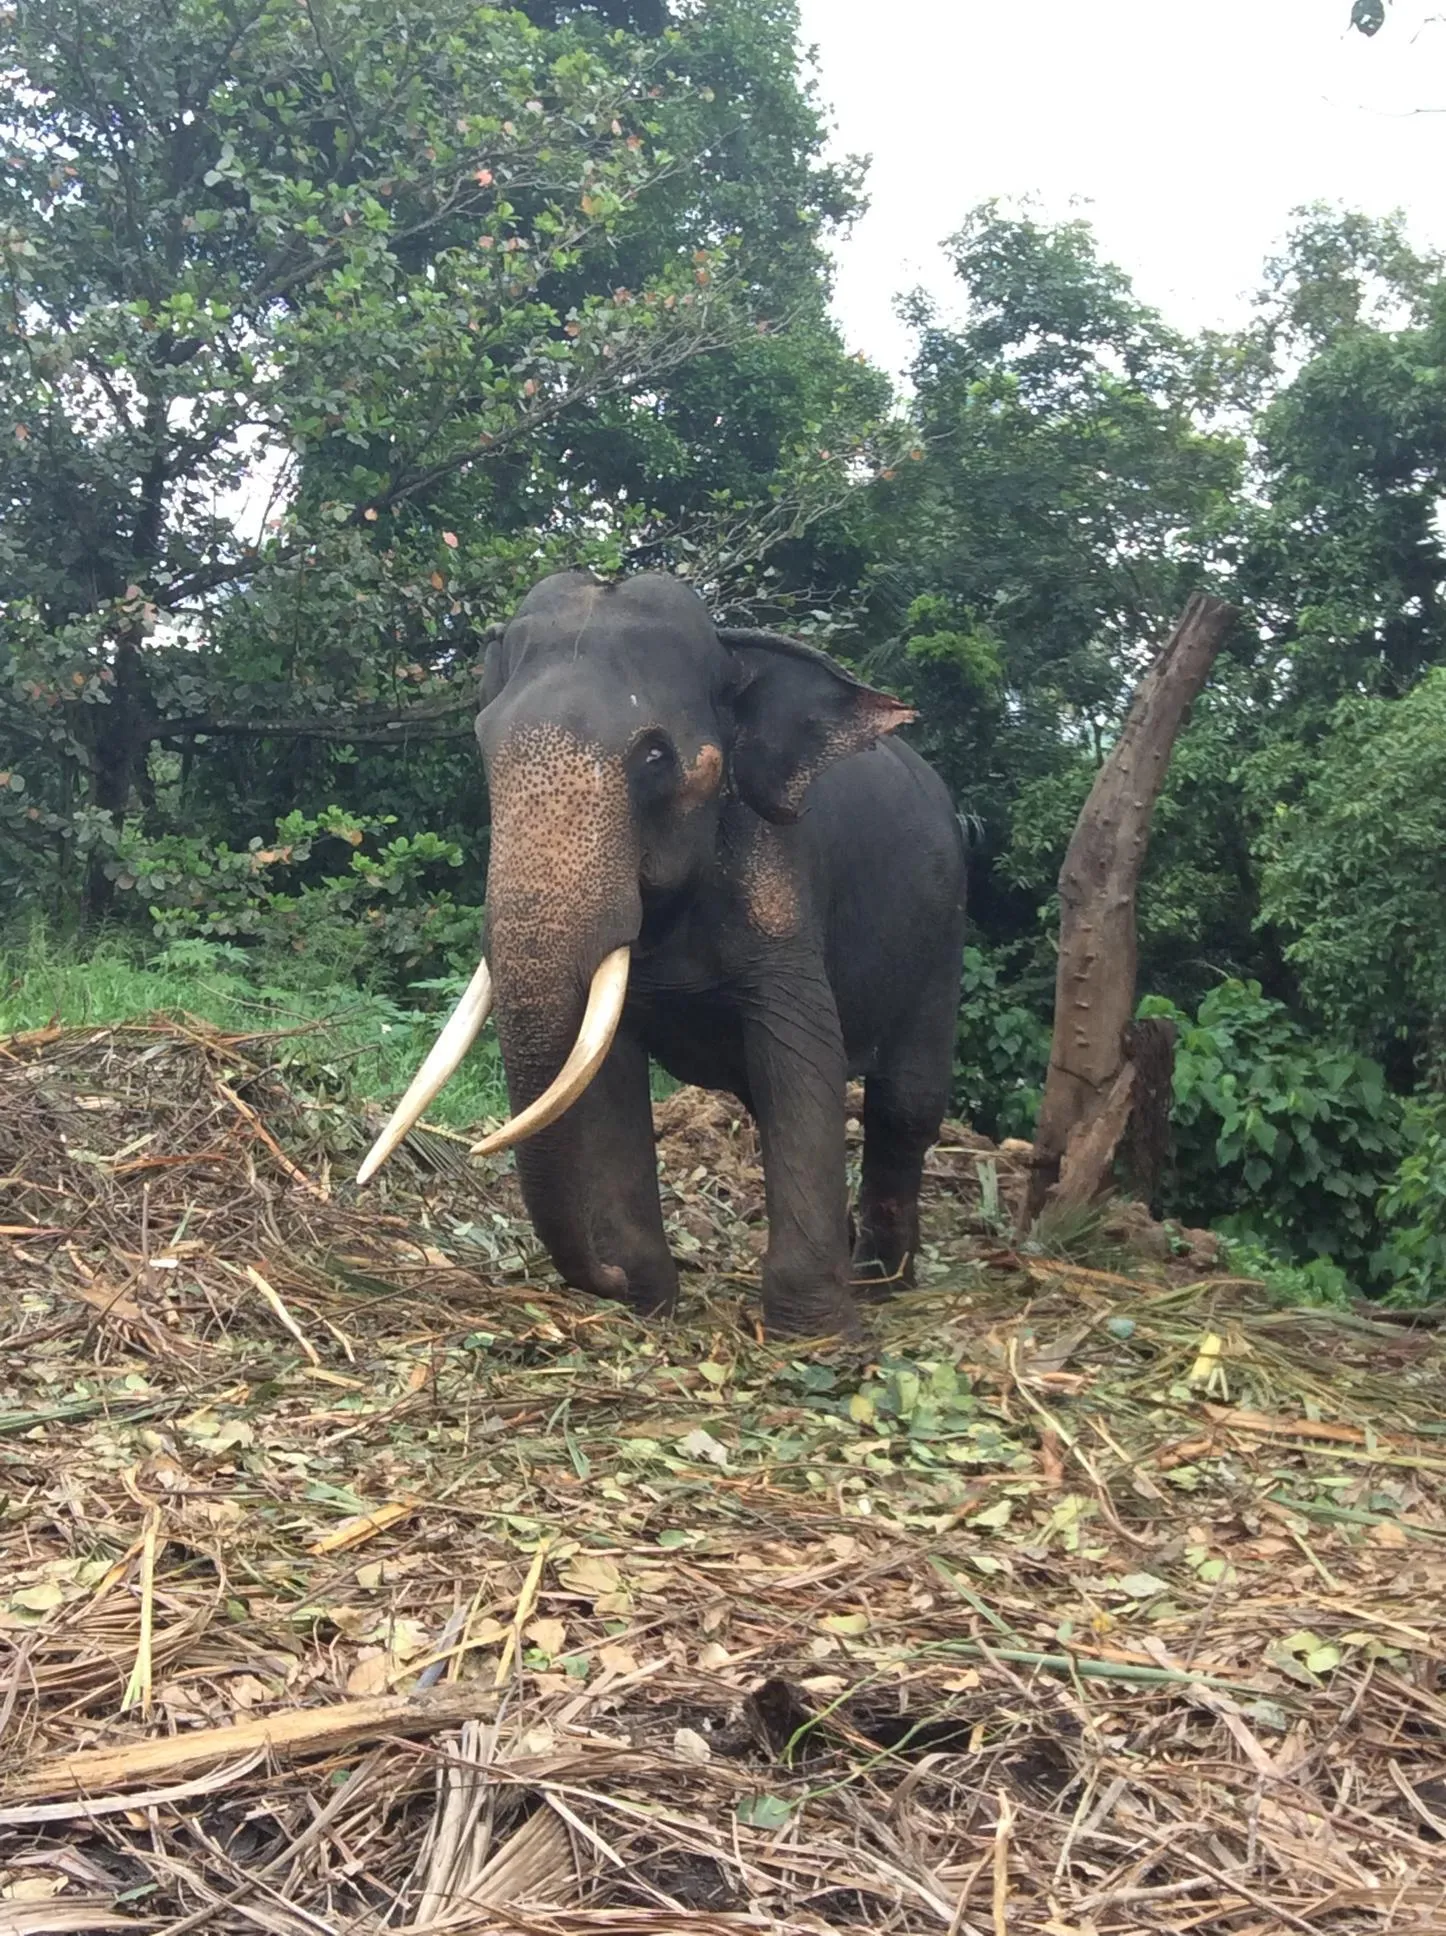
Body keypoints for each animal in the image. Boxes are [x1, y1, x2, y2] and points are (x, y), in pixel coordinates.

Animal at [360, 565, 967, 1339]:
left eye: (653, 756)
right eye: (481, 742)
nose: (605, 1280)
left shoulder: (782, 884)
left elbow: (799, 1060)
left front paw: (816, 1335)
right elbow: (608, 1073)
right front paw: (648, 1304)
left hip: (943, 934)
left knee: (905, 1103)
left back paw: (881, 1280)